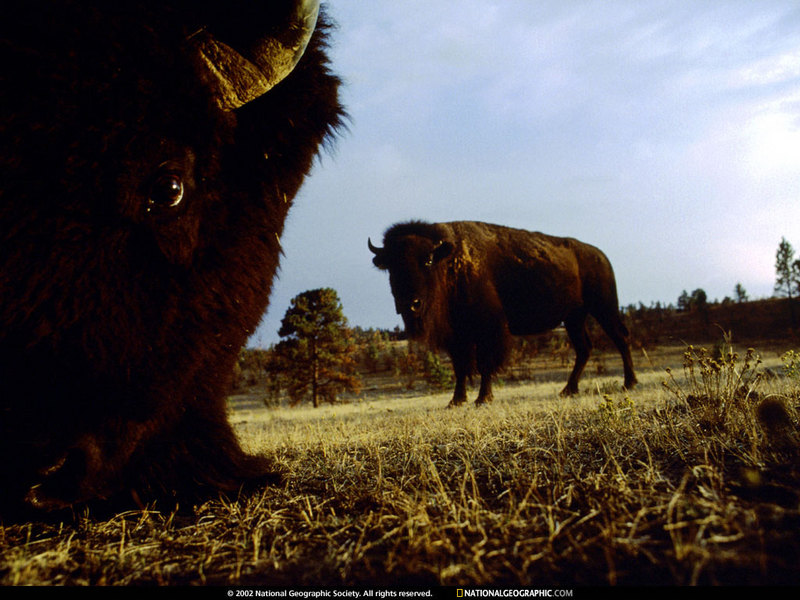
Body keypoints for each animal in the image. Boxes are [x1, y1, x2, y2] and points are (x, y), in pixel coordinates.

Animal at [368, 221, 636, 408]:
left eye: (428, 260)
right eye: (391, 265)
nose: (410, 304)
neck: (451, 263)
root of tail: (600, 255)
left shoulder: (489, 330)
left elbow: (485, 364)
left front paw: (483, 398)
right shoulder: (457, 337)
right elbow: (460, 367)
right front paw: (455, 401)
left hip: (604, 307)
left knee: (621, 338)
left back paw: (629, 384)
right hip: (574, 318)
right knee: (584, 348)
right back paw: (568, 390)